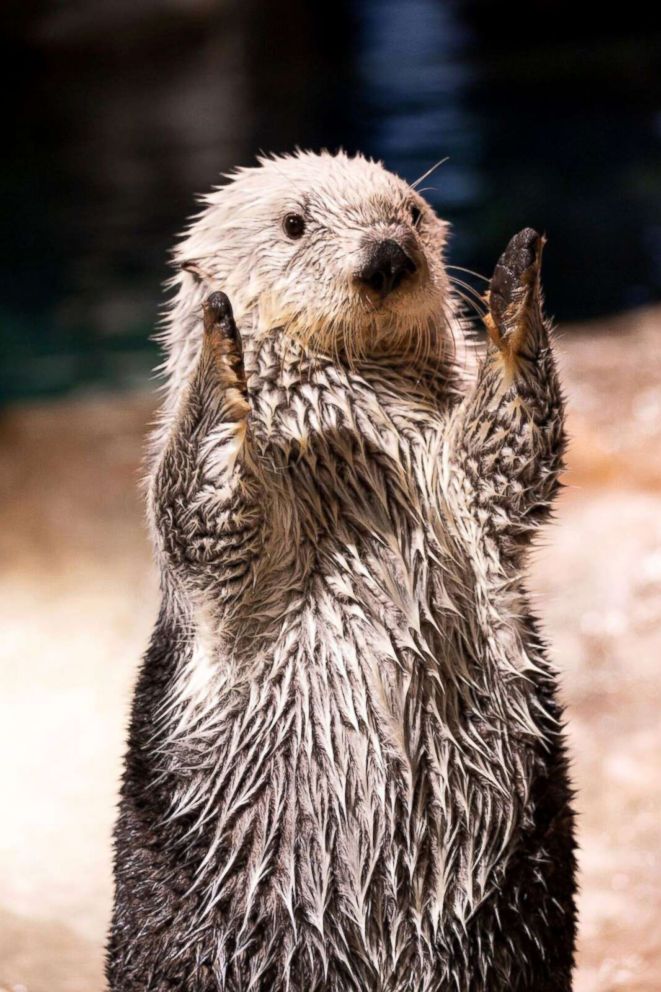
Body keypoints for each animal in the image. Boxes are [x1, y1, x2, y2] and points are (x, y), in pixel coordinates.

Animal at [107, 151, 572, 988]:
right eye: (295, 223)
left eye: (411, 214)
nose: (388, 255)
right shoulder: (217, 558)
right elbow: (200, 508)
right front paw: (220, 348)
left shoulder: (469, 488)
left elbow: (513, 447)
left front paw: (516, 286)